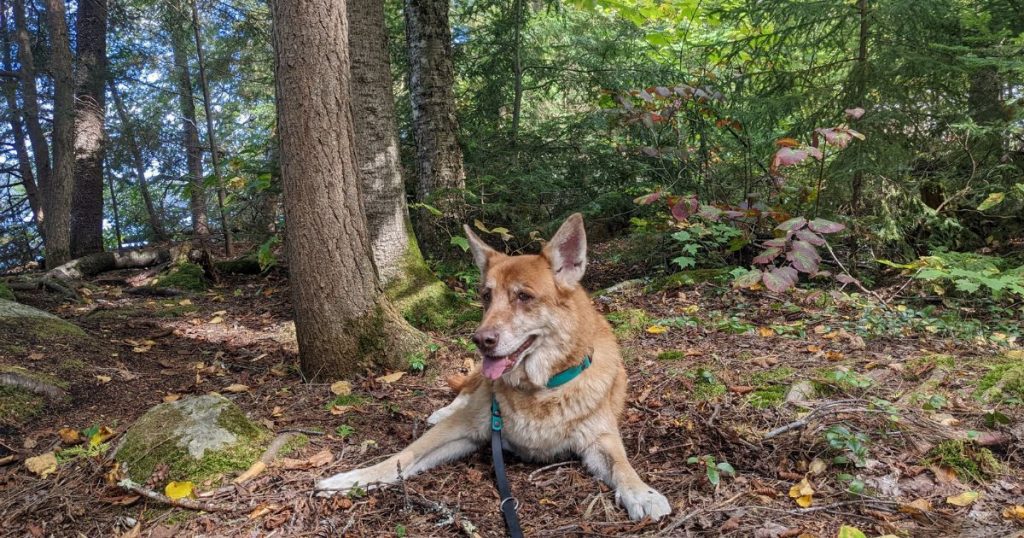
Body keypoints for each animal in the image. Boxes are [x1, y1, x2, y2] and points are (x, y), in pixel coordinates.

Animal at [317, 213, 671, 520]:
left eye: (524, 297)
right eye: (486, 295)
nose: (480, 340)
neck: (539, 389)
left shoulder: (601, 437)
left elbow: (622, 464)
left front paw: (641, 492)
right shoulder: (465, 427)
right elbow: (404, 455)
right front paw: (354, 478)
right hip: (474, 385)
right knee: (463, 395)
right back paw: (443, 410)